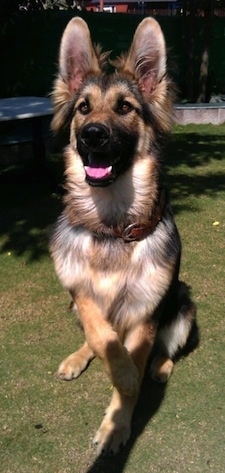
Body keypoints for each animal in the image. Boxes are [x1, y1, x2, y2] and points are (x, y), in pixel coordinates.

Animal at [49, 16, 197, 456]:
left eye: (125, 107)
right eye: (83, 107)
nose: (92, 135)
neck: (111, 226)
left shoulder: (145, 311)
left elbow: (133, 362)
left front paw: (118, 421)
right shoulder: (80, 291)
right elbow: (103, 336)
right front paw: (116, 366)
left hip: (183, 304)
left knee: (166, 346)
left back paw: (159, 368)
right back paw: (79, 356)